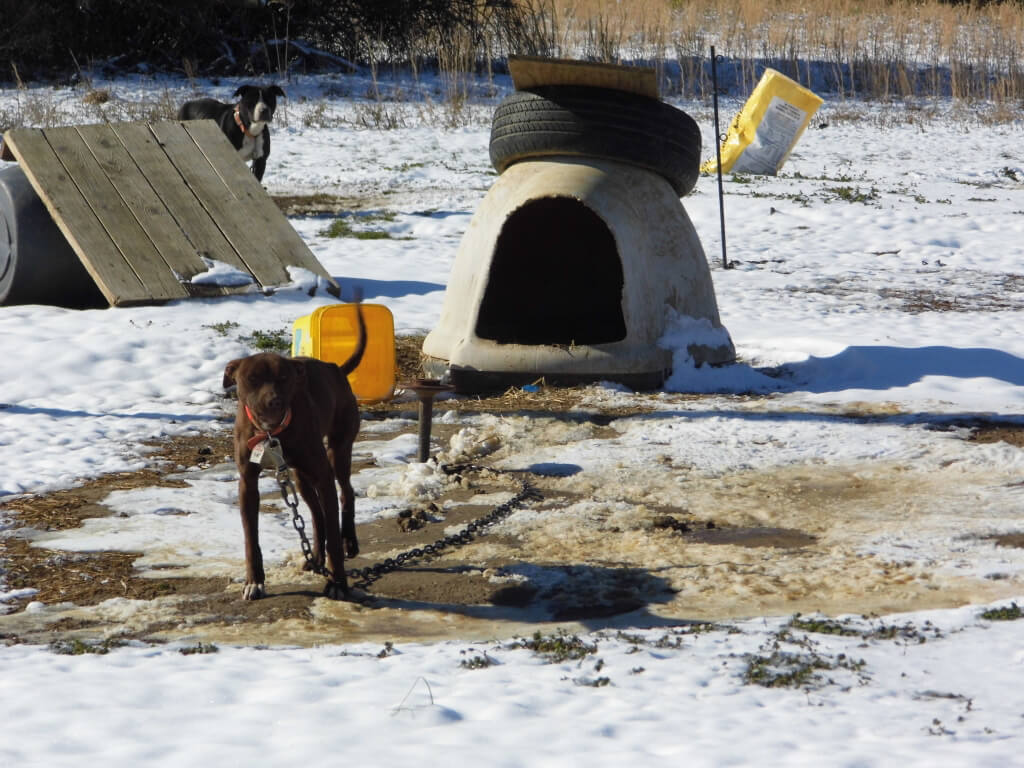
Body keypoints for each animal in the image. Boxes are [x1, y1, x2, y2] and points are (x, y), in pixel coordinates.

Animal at [222, 303, 366, 602]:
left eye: (284, 378)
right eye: (252, 379)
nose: (274, 401)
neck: (271, 432)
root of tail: (336, 370)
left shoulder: (323, 476)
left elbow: (334, 537)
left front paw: (338, 582)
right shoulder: (247, 483)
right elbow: (251, 539)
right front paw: (254, 582)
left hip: (337, 451)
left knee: (346, 493)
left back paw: (349, 540)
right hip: (299, 476)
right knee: (316, 515)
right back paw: (316, 557)